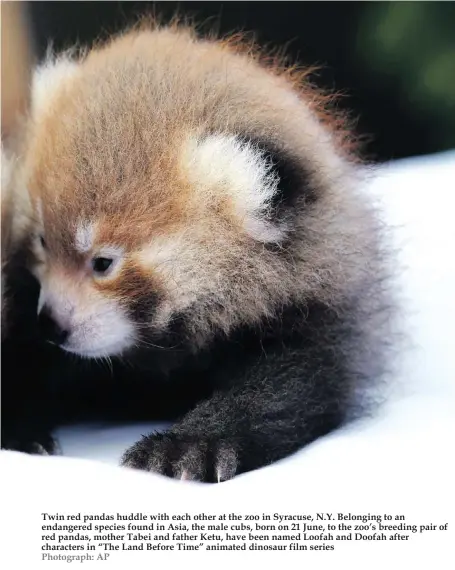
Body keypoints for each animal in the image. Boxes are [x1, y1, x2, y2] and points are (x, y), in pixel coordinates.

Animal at [3, 23, 394, 480]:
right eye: (42, 242)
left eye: (103, 263)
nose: (52, 324)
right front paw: (18, 429)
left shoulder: (317, 315)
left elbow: (285, 388)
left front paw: (188, 446)